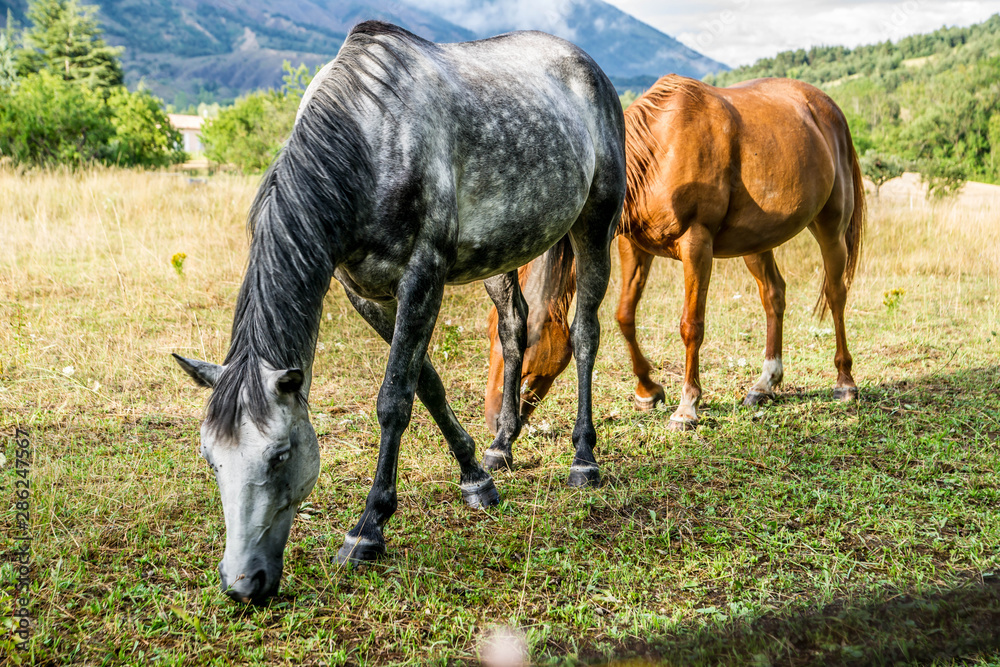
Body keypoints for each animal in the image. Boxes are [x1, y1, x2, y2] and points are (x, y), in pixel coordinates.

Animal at [173, 20, 624, 604]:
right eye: (211, 458)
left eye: (280, 454)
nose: (242, 583)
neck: (369, 141)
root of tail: (587, 67)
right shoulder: (367, 293)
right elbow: (427, 383)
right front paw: (476, 475)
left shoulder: (421, 276)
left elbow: (394, 400)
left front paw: (368, 529)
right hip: (501, 254)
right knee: (514, 327)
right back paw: (502, 444)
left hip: (596, 226)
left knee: (585, 333)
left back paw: (584, 459)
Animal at [484, 73, 860, 448]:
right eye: (492, 333)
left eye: (530, 337)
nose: (494, 421)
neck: (659, 152)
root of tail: (827, 108)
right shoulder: (634, 247)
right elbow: (624, 316)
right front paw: (647, 390)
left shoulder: (697, 246)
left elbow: (691, 326)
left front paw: (687, 407)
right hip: (756, 243)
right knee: (774, 296)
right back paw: (765, 383)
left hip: (831, 227)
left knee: (836, 295)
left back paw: (845, 381)